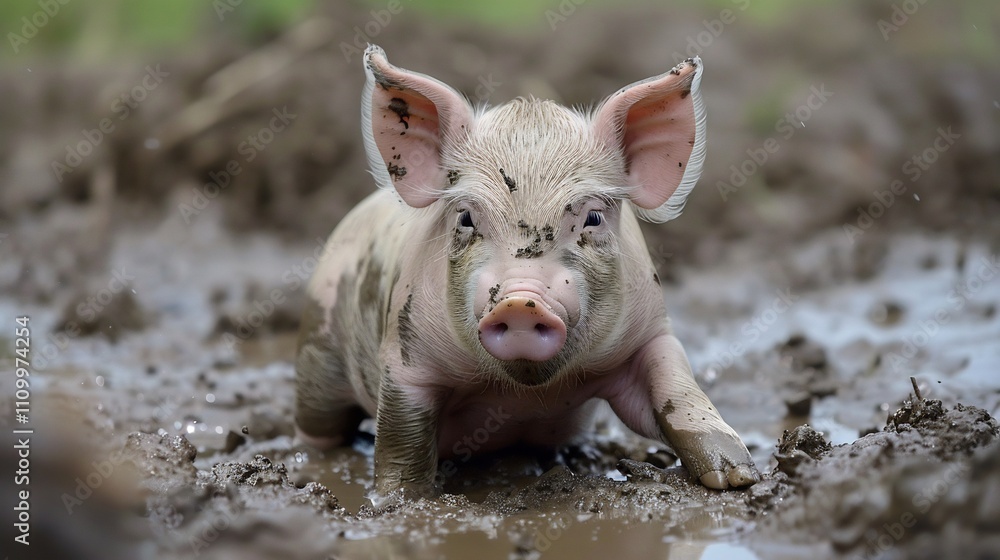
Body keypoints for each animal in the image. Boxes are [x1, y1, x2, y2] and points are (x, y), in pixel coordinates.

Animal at [294, 45, 759, 501]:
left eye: (592, 217)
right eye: (466, 217)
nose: (521, 301)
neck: (522, 393)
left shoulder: (651, 333)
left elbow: (679, 394)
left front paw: (736, 479)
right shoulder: (404, 357)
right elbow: (401, 440)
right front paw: (398, 501)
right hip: (318, 351)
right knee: (318, 424)